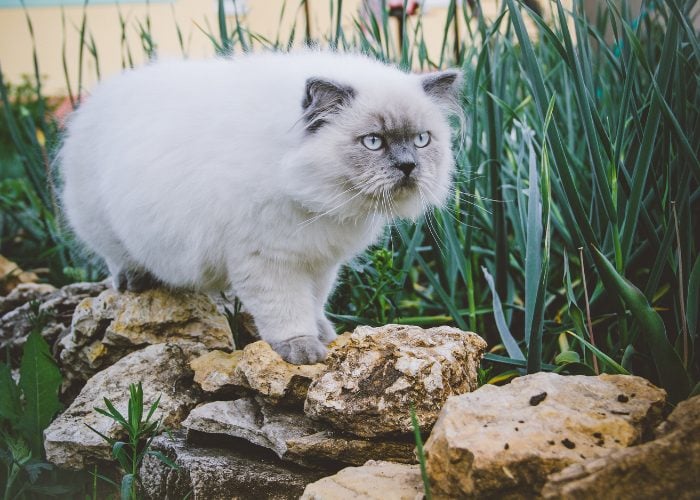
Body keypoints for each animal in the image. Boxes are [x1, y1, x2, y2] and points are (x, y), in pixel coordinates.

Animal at [58, 50, 460, 364]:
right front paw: (304, 349)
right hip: (100, 222)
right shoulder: (268, 259)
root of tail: (102, 95)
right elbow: (287, 311)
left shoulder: (319, 260)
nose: (408, 166)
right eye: (373, 142)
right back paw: (132, 281)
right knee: (115, 256)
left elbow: (314, 303)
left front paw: (323, 333)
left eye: (421, 140)